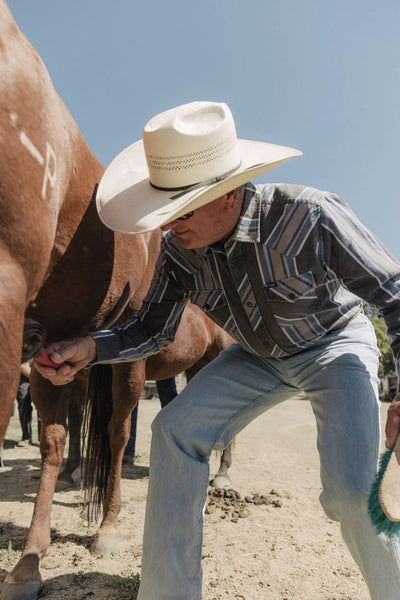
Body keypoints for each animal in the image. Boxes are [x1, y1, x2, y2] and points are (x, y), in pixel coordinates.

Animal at [0, 3, 234, 596]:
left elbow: (114, 430)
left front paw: (104, 529)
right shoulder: (49, 354)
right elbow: (55, 441)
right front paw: (30, 559)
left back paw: (217, 477)